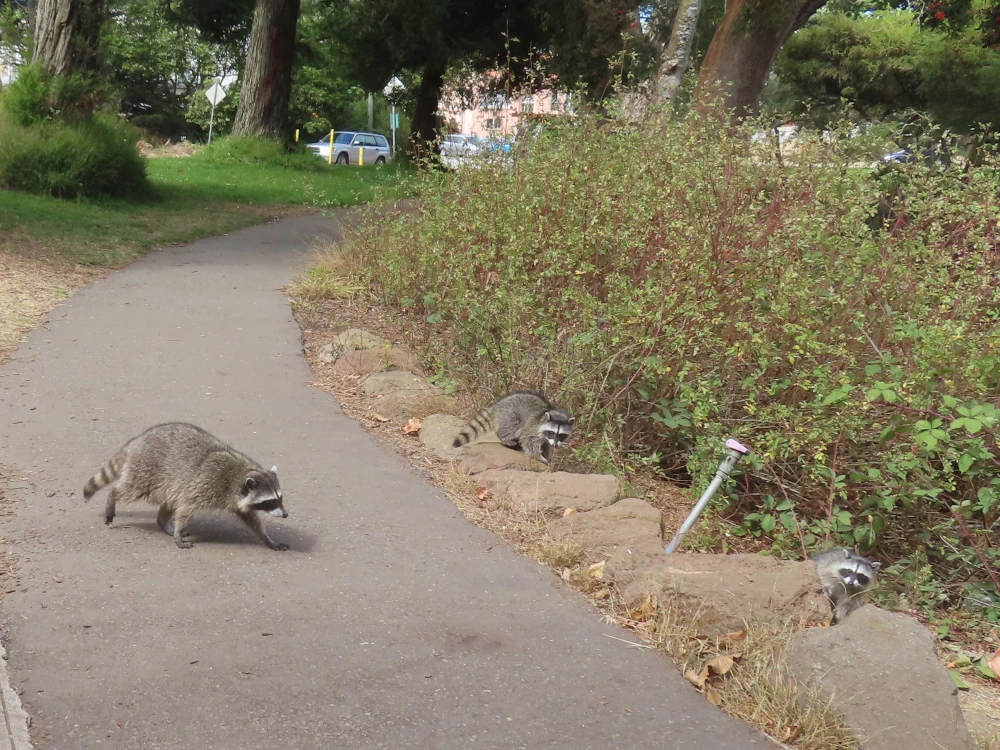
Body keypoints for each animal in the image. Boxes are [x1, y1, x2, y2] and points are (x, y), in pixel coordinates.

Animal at [81, 424, 290, 552]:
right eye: (270, 502)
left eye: (279, 498)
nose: (286, 514)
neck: (238, 476)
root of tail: (137, 441)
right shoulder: (206, 484)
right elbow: (185, 508)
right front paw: (178, 531)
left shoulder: (237, 500)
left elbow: (252, 520)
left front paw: (267, 538)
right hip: (146, 470)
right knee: (130, 489)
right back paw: (113, 497)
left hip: (168, 481)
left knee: (169, 500)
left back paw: (163, 523)